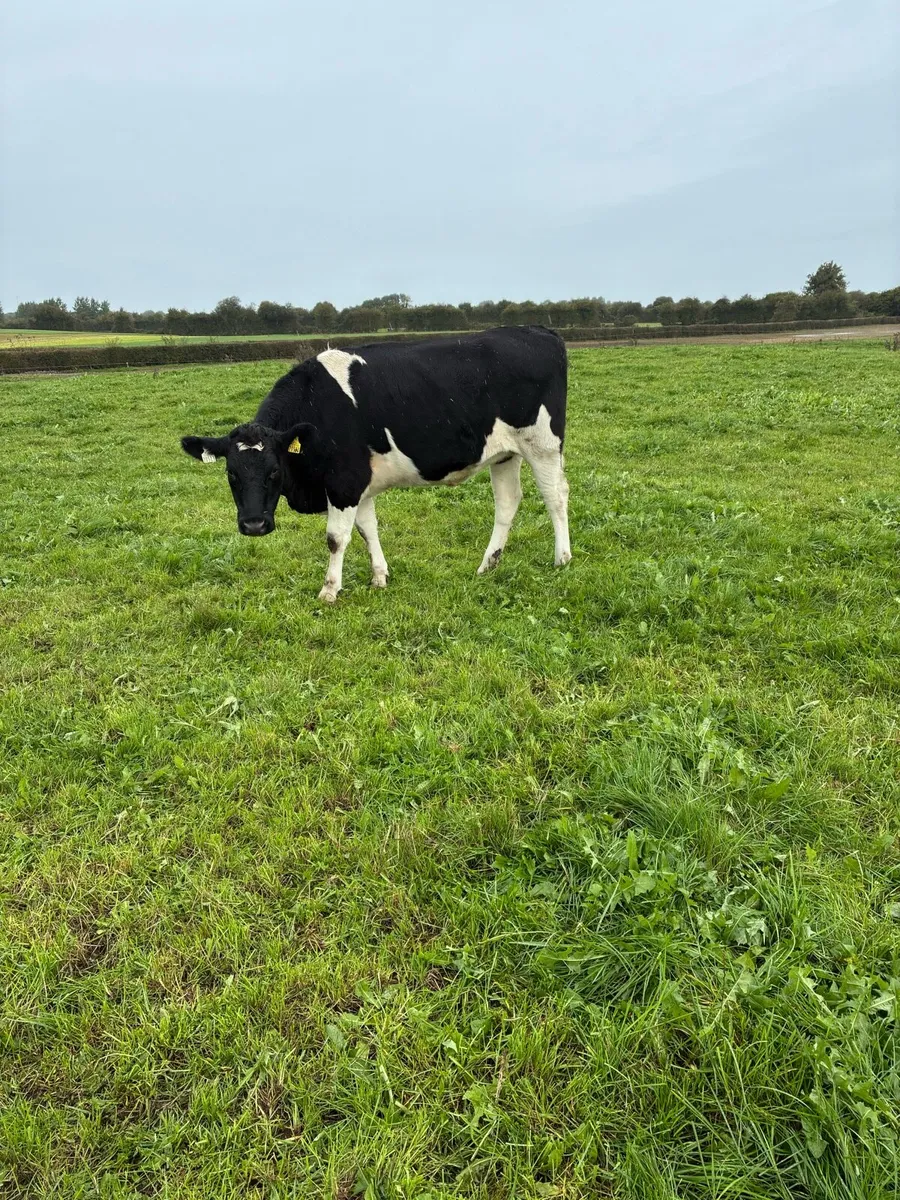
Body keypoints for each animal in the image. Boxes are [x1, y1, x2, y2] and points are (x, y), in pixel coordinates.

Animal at [181, 325, 571, 602]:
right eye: (231, 474)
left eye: (274, 471)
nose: (254, 525)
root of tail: (538, 331)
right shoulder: (359, 484)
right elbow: (368, 530)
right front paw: (379, 577)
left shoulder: (343, 482)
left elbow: (336, 538)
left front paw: (329, 590)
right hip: (505, 453)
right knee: (507, 503)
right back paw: (488, 564)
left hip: (543, 445)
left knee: (556, 497)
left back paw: (562, 559)